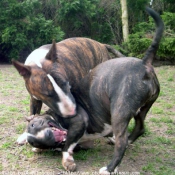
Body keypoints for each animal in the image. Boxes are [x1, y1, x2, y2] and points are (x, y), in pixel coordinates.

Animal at [22, 7, 164, 174]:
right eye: (37, 142)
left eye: (35, 124)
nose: (49, 137)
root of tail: (143, 64)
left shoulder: (79, 120)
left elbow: (67, 146)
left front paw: (67, 159)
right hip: (142, 108)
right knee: (139, 128)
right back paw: (126, 142)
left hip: (119, 110)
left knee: (121, 142)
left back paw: (109, 168)